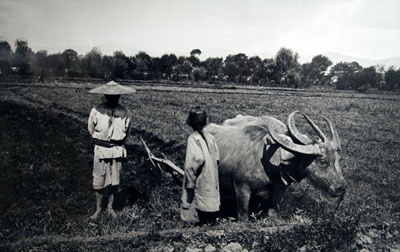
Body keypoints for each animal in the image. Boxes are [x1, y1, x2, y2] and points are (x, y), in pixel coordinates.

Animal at [205, 111, 346, 220]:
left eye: (339, 159)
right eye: (323, 161)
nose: (341, 187)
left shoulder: (279, 188)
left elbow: (273, 213)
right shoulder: (241, 188)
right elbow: (243, 216)